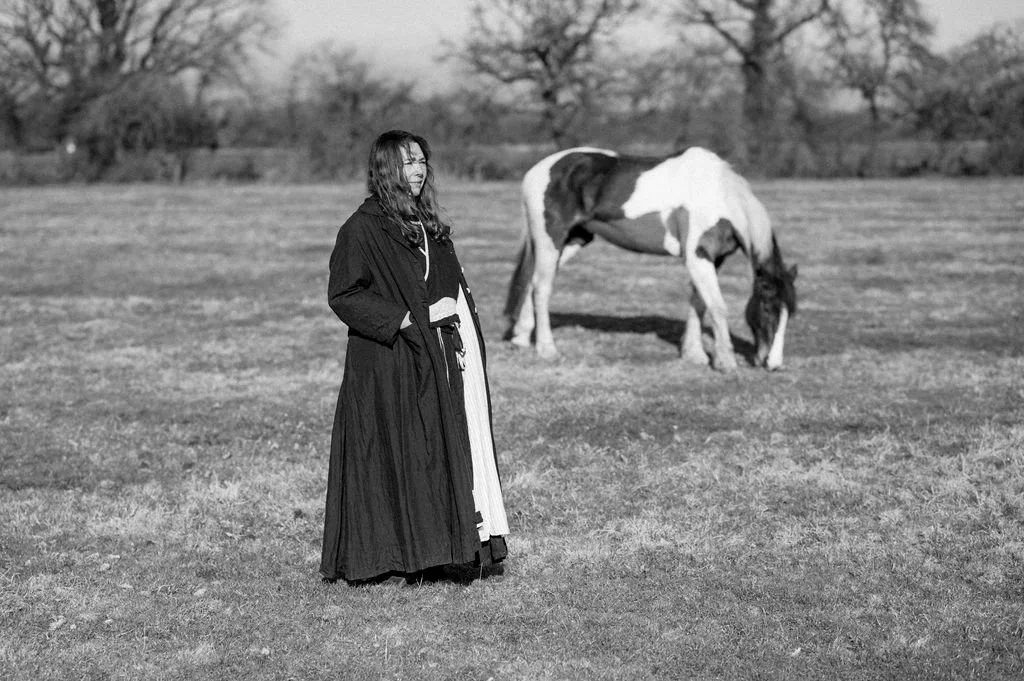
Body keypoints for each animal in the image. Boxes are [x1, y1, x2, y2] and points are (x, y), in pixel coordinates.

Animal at [502, 146, 797, 371]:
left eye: (789, 314)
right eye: (768, 308)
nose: (772, 364)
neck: (719, 194)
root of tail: (538, 170)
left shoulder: (714, 259)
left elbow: (698, 303)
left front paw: (695, 355)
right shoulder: (698, 256)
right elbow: (717, 307)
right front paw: (725, 361)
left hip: (572, 241)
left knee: (532, 282)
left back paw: (521, 338)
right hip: (550, 239)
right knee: (542, 288)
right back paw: (547, 349)